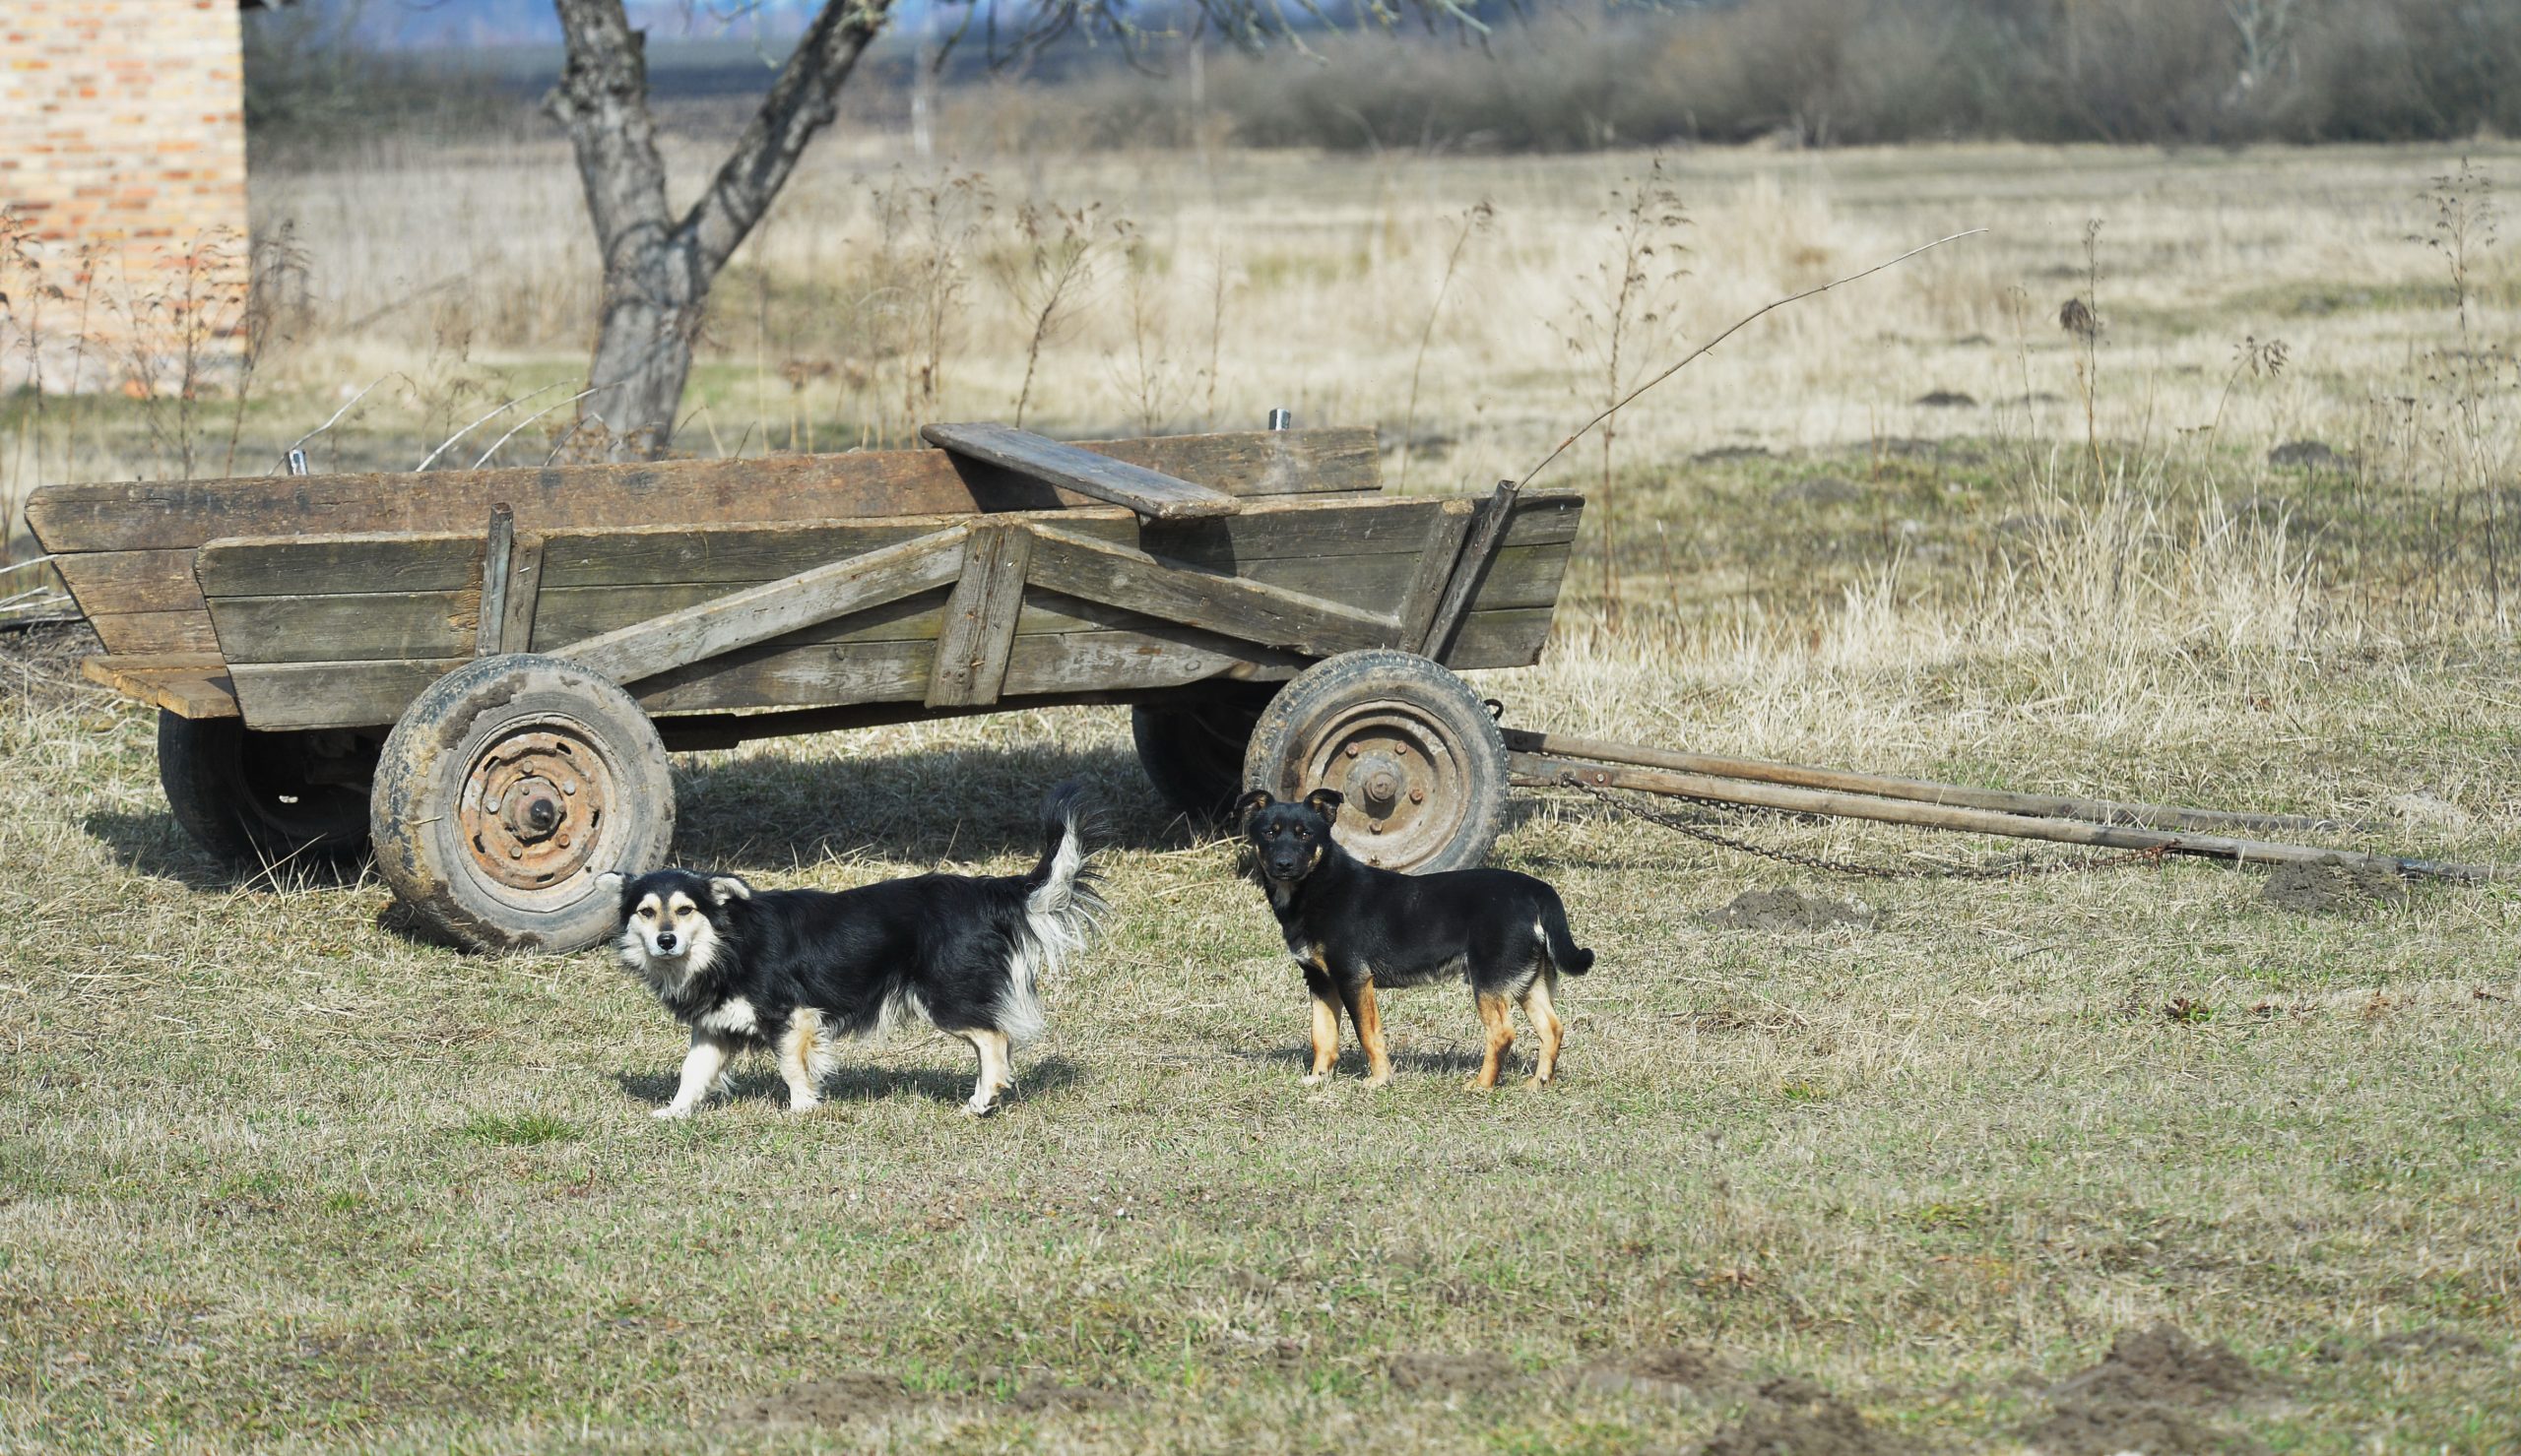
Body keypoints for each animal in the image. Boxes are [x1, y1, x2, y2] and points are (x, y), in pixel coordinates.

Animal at [605, 781, 1099, 1108]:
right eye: (645, 912)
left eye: (686, 909)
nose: (665, 940)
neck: (726, 945)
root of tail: (984, 891)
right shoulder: (713, 1029)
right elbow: (692, 1072)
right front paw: (673, 1114)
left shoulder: (792, 1017)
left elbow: (791, 1067)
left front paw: (802, 1110)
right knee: (992, 1041)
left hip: (947, 995)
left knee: (995, 1036)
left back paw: (982, 1101)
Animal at [1235, 786, 1592, 1083]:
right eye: (1269, 833)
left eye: (1305, 835)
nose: (1284, 864)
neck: (1318, 886)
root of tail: (1537, 890)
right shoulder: (1320, 981)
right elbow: (1322, 1035)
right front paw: (1318, 1079)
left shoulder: (1353, 978)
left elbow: (1368, 1033)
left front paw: (1379, 1080)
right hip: (1526, 980)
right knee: (1552, 1028)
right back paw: (1538, 1083)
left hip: (1489, 979)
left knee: (1503, 1033)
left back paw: (1481, 1085)